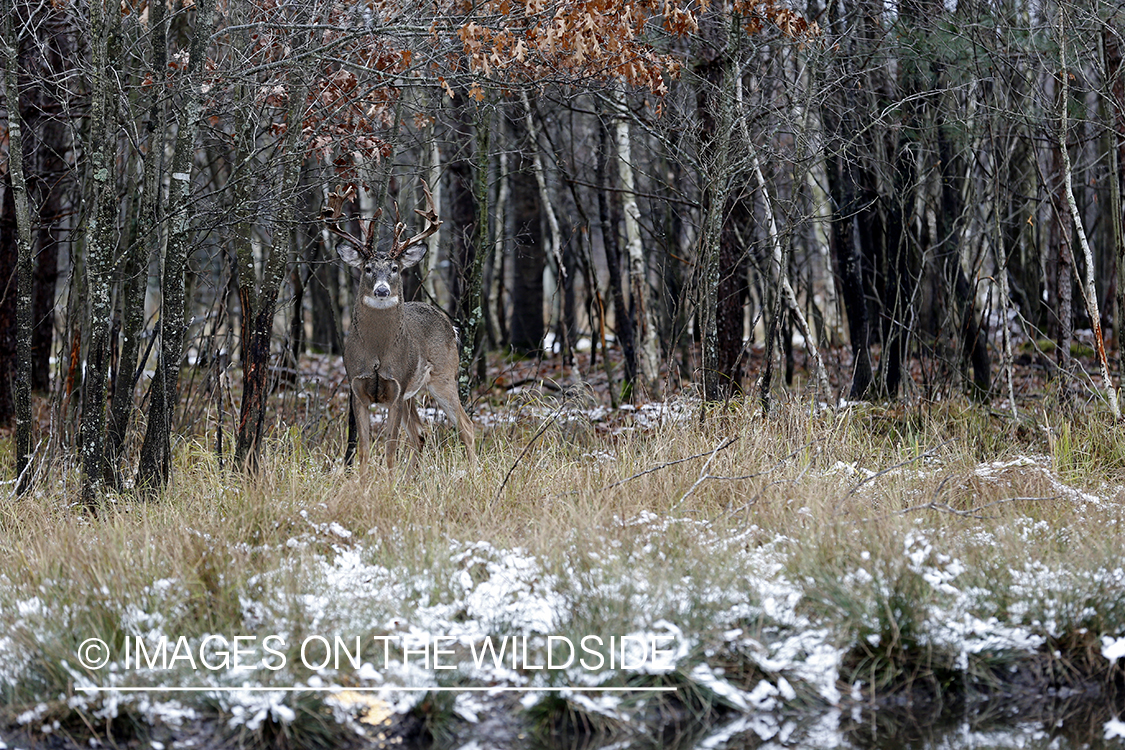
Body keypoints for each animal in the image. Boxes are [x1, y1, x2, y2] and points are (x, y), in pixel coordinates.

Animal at [328, 182, 479, 472]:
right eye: (367, 268)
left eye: (395, 268)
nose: (382, 290)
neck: (377, 353)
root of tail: (451, 326)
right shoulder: (357, 389)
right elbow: (364, 450)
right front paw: (364, 482)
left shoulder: (397, 389)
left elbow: (389, 449)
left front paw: (388, 481)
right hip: (413, 393)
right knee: (420, 433)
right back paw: (413, 477)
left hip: (443, 376)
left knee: (465, 426)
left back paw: (475, 473)